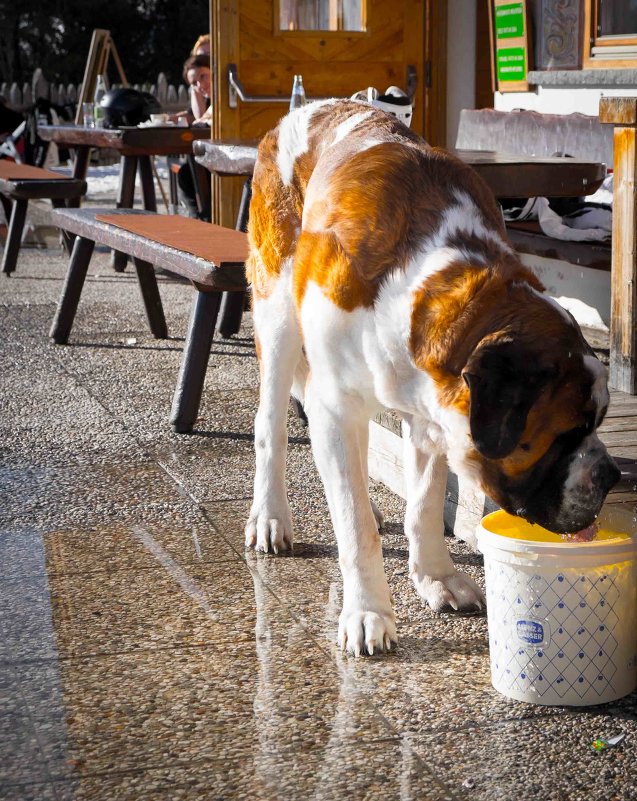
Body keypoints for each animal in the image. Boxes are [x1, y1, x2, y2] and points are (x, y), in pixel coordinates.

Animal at [242, 100, 616, 652]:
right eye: (565, 433)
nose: (611, 475)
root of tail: (305, 109)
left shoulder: (431, 410)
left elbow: (424, 500)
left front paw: (436, 578)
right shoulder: (339, 405)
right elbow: (354, 525)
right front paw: (368, 611)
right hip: (278, 311)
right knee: (271, 423)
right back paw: (270, 517)